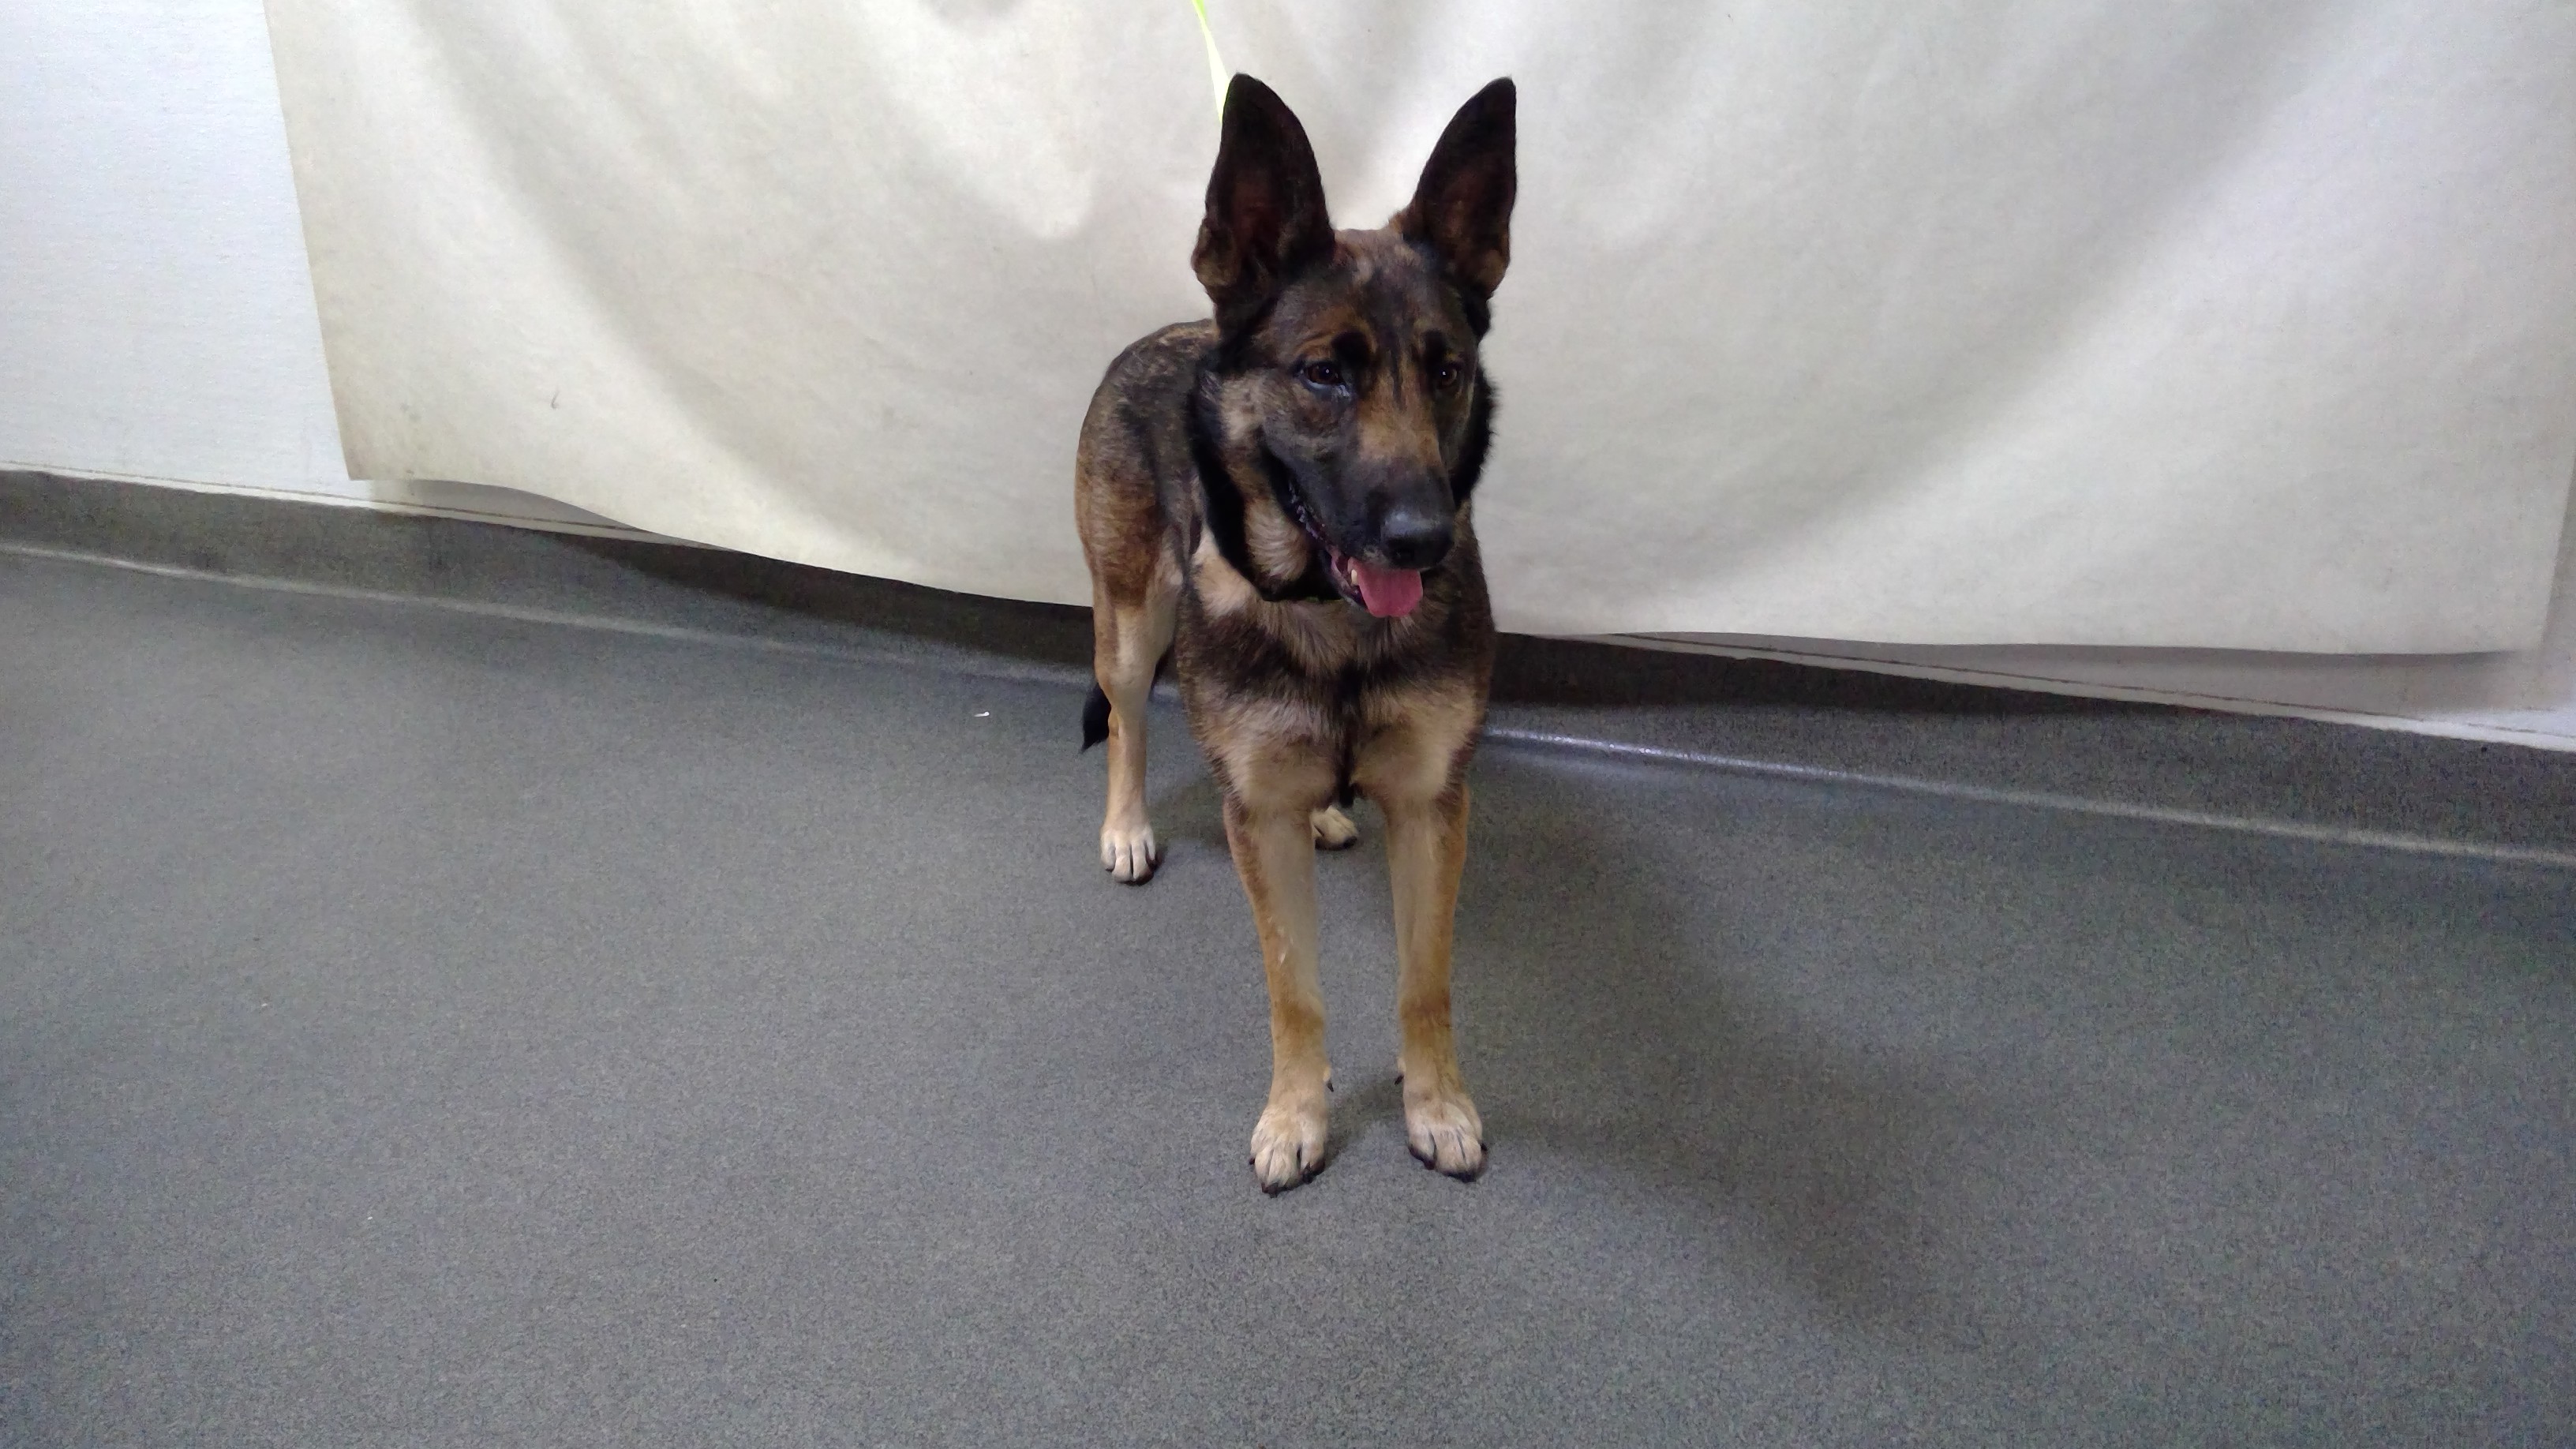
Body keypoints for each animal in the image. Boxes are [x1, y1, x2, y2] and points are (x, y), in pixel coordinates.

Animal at [1075, 74, 1516, 1193]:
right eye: (1325, 375)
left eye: (1446, 372)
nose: (1424, 539)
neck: (1331, 618)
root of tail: (1166, 332)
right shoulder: (1259, 832)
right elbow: (1293, 987)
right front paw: (1296, 1114)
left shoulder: (1432, 809)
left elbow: (1424, 981)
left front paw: (1435, 1103)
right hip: (1130, 628)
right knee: (1130, 724)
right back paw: (1128, 826)